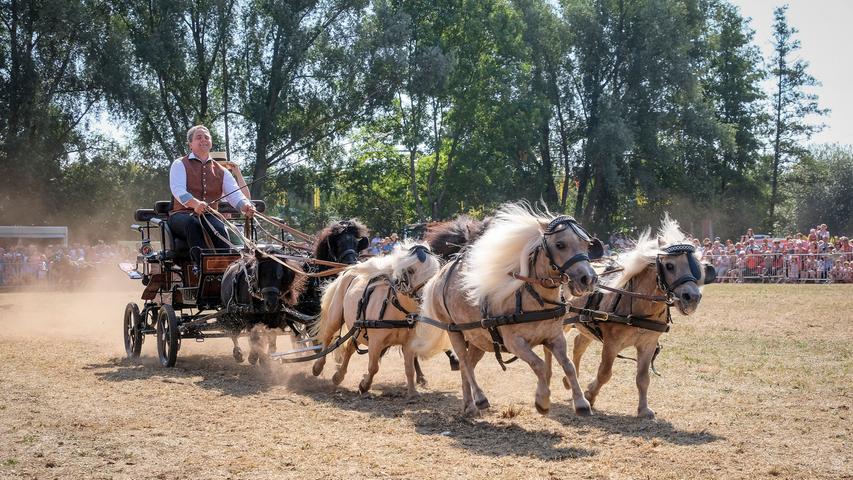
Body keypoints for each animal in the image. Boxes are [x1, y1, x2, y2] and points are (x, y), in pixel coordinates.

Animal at [310, 242, 440, 396]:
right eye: (411, 270)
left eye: (435, 272)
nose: (428, 296)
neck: (397, 309)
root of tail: (349, 270)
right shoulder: (376, 342)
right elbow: (373, 367)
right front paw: (364, 385)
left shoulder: (408, 343)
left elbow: (409, 369)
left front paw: (413, 392)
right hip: (335, 317)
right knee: (327, 337)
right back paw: (318, 366)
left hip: (358, 328)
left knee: (349, 347)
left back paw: (338, 376)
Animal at [412, 203, 600, 416]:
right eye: (560, 244)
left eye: (586, 244)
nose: (589, 279)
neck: (535, 299)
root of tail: (442, 272)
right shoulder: (514, 342)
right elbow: (539, 365)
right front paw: (542, 401)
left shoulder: (555, 337)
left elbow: (568, 366)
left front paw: (581, 402)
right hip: (454, 331)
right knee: (465, 363)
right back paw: (480, 398)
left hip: (478, 338)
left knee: (468, 365)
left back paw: (469, 405)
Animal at [544, 216, 712, 418]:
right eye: (669, 265)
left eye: (695, 266)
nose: (692, 297)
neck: (638, 307)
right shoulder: (611, 343)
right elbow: (605, 373)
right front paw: (590, 395)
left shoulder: (648, 344)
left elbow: (643, 378)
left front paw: (644, 409)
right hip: (562, 322)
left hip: (585, 325)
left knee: (578, 346)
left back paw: (571, 380)